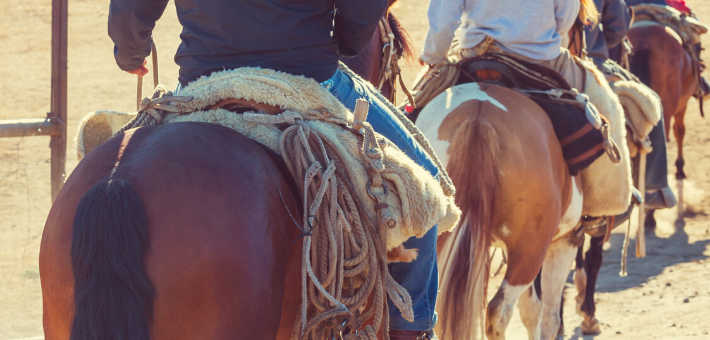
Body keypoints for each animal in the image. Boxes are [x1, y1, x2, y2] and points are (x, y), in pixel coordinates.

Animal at [418, 83, 584, 340]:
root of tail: (479, 117)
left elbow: (531, 310)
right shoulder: (565, 242)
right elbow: (549, 317)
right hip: (529, 250)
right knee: (499, 311)